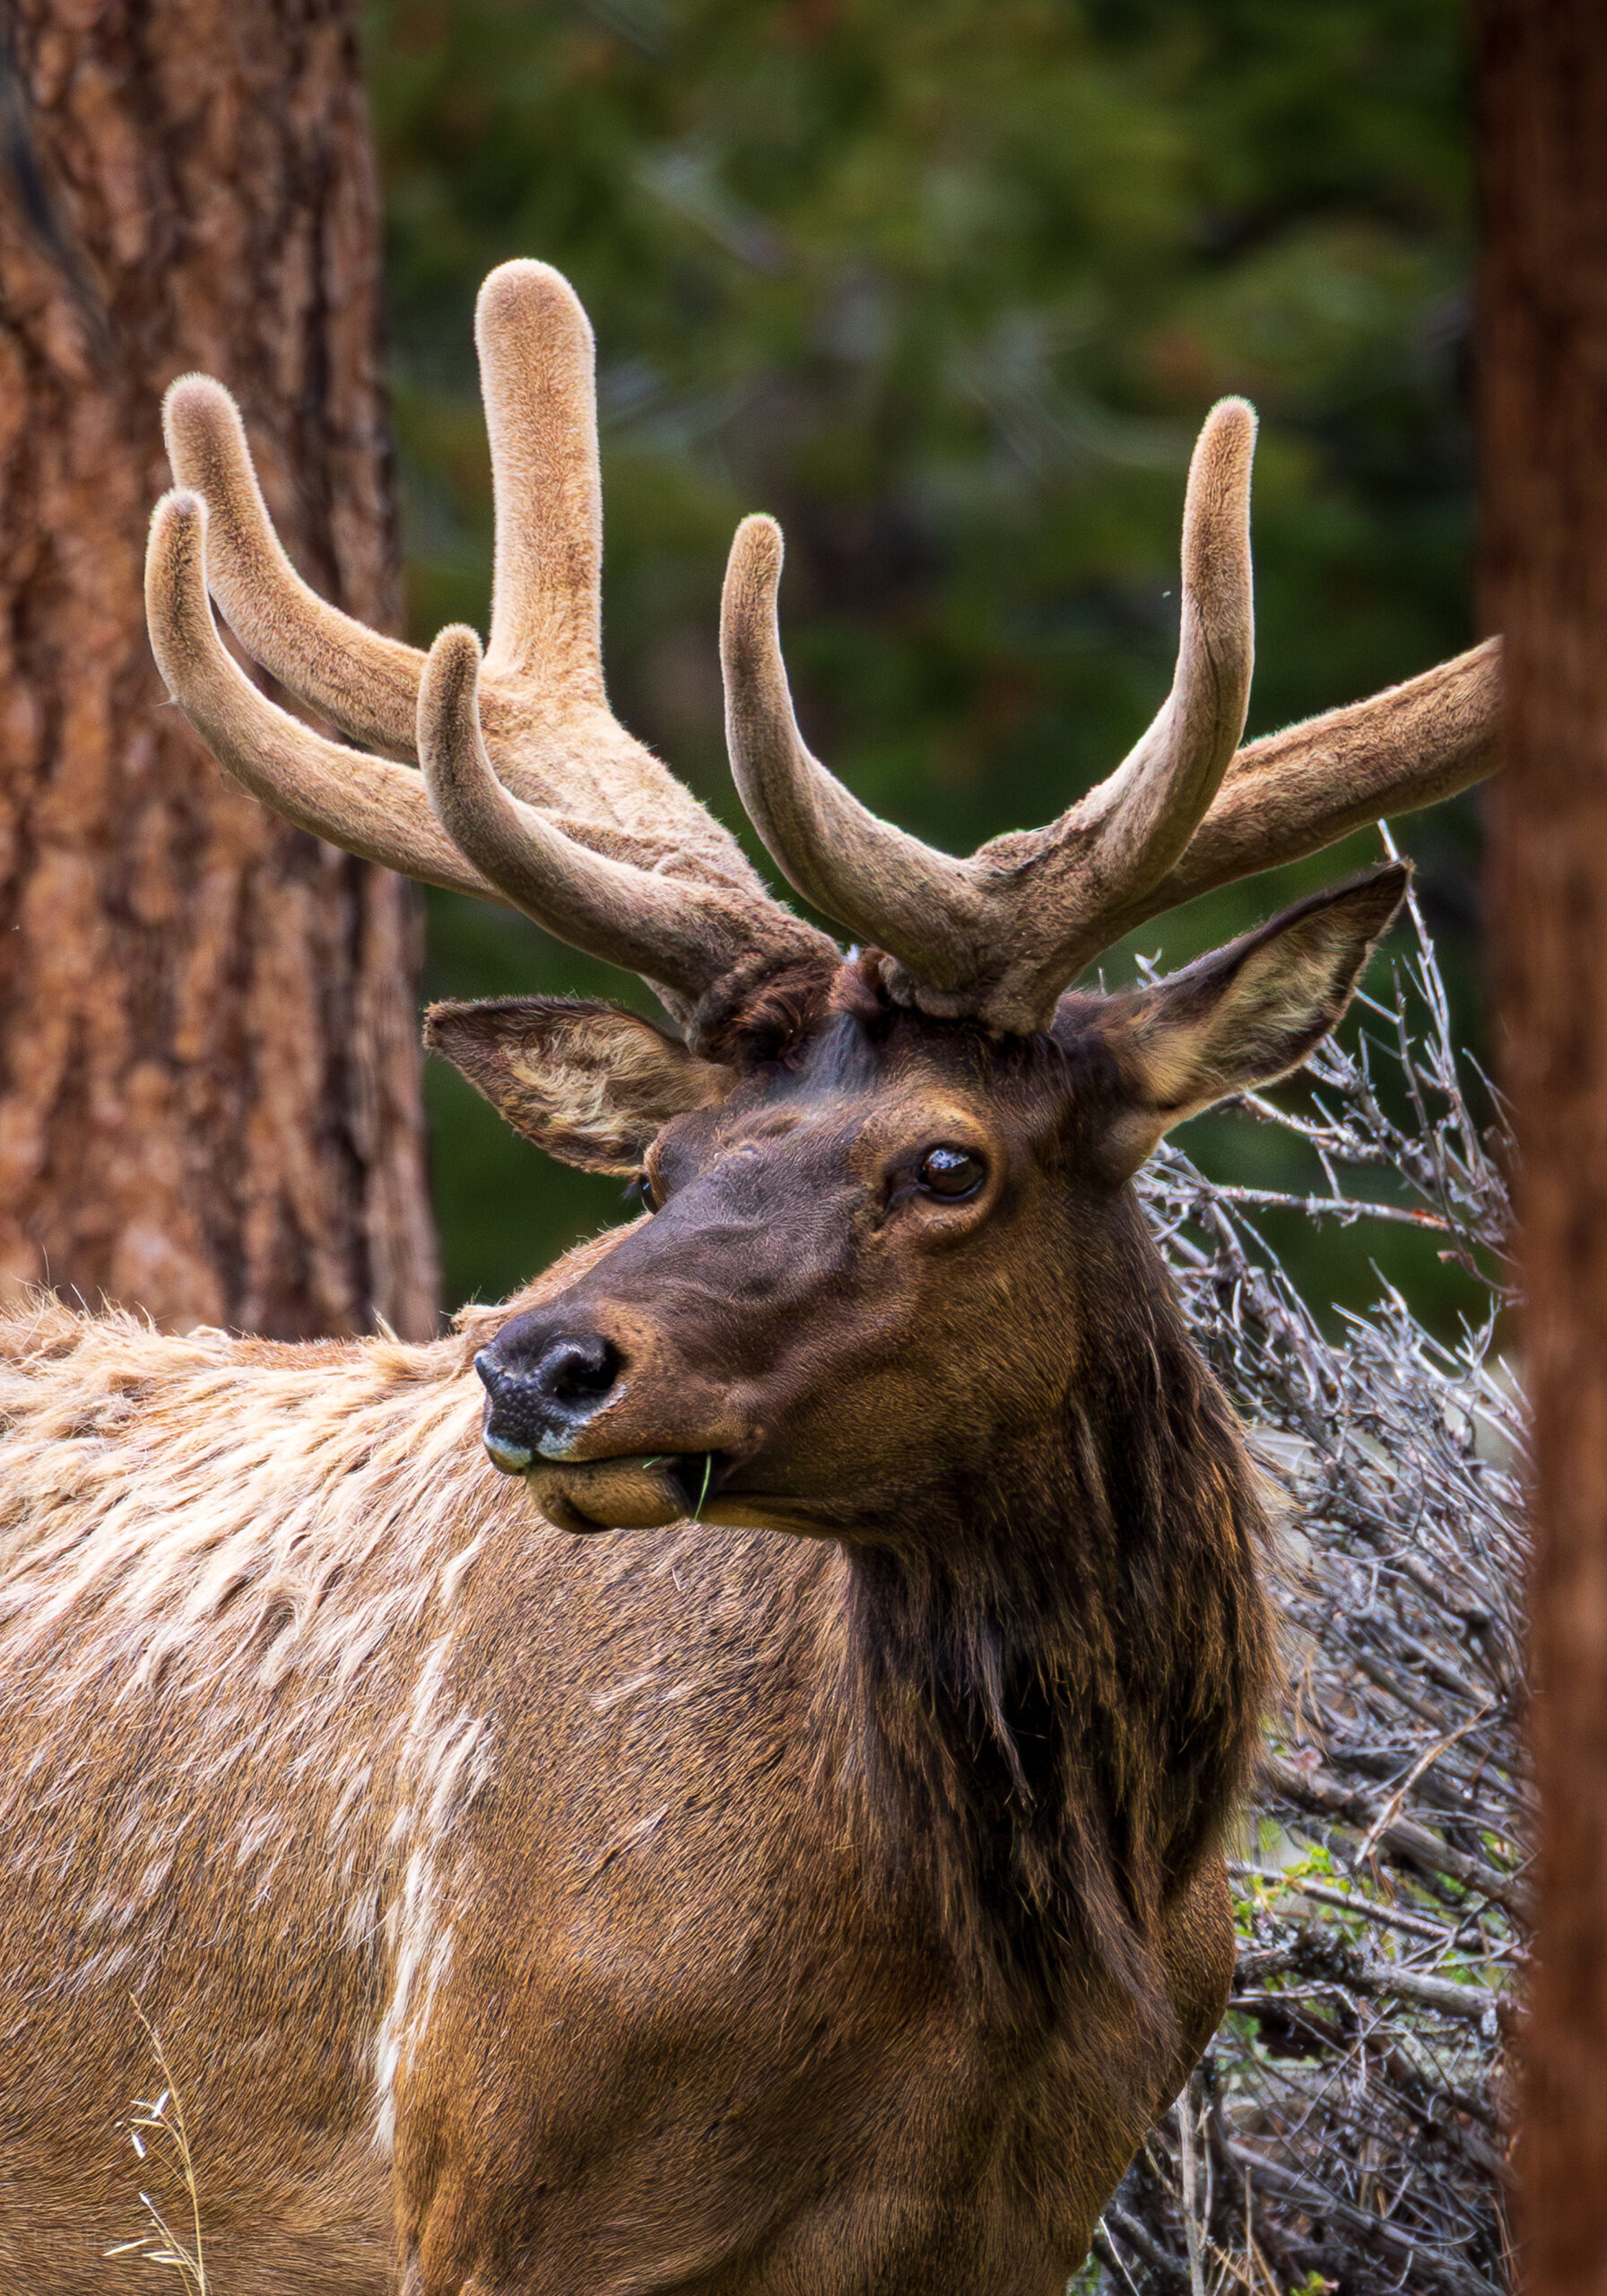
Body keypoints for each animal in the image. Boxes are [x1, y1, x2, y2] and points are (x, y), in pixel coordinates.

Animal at [0, 260, 1500, 2296]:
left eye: (945, 1161)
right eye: (662, 1164)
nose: (534, 1368)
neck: (994, 1975)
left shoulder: (1024, 2213)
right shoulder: (478, 2178)